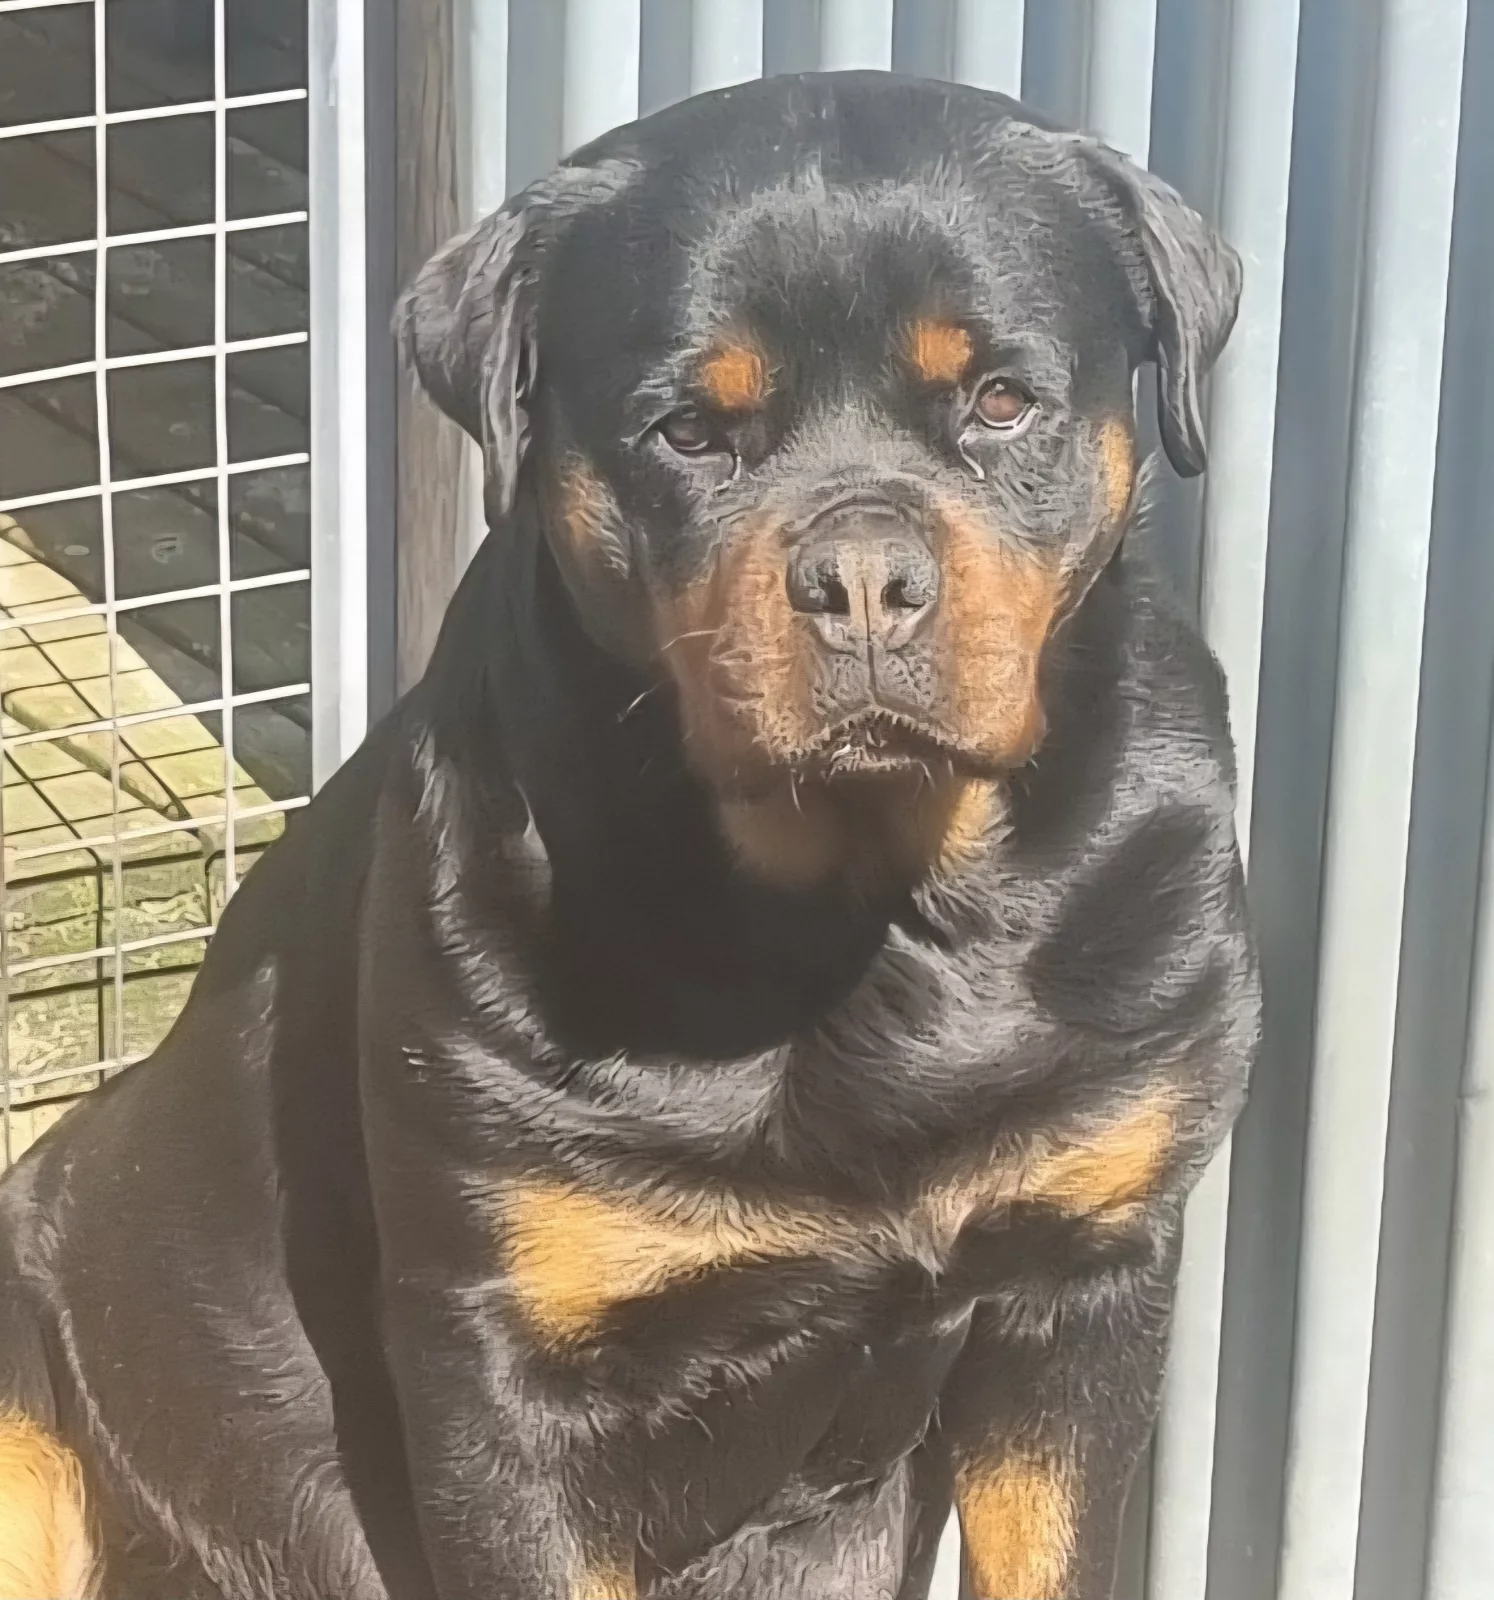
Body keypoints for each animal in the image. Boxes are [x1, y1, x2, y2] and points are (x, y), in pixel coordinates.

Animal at [0, 71, 1256, 1600]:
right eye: (689, 431)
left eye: (1002, 399)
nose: (860, 579)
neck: (870, 913)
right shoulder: (505, 1373)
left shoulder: (1087, 1273)